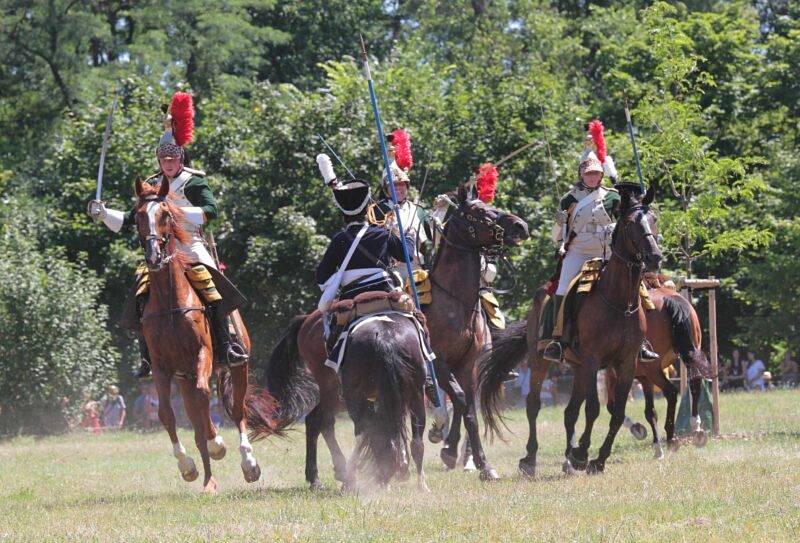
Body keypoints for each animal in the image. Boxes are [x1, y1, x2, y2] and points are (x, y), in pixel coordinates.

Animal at [132, 178, 282, 492]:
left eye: (165, 214)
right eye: (137, 216)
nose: (153, 257)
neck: (170, 301)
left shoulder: (204, 354)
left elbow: (207, 400)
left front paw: (219, 444)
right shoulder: (163, 368)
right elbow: (167, 413)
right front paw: (186, 466)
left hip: (238, 367)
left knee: (236, 412)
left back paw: (248, 464)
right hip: (184, 378)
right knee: (197, 422)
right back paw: (208, 482)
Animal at [482, 186, 664, 476]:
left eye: (654, 219)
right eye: (630, 224)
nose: (655, 257)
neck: (619, 302)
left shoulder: (625, 363)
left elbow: (616, 411)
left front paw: (597, 459)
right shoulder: (592, 360)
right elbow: (593, 409)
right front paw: (582, 454)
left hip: (578, 368)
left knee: (570, 411)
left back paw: (567, 459)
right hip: (541, 360)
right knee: (534, 405)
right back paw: (530, 459)